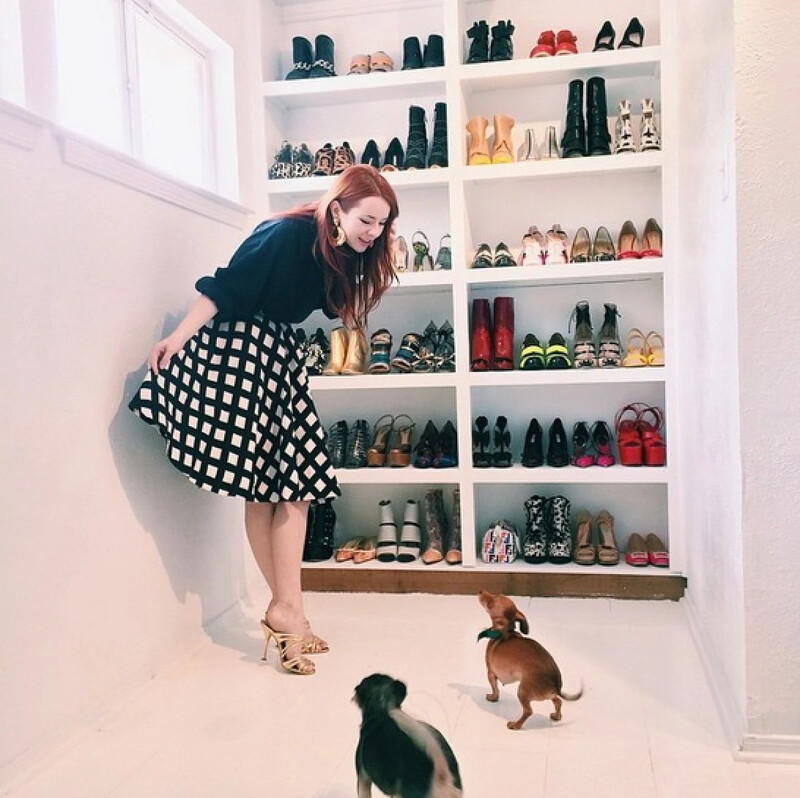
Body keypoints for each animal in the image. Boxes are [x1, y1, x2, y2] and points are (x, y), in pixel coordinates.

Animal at [478, 590, 583, 730]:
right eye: (496, 594)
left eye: (490, 602)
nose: (481, 591)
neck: (506, 631)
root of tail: (555, 685)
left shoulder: (490, 673)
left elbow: (495, 689)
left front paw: (493, 698)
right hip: (547, 695)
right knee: (558, 701)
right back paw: (556, 716)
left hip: (522, 691)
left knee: (528, 711)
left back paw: (515, 725)